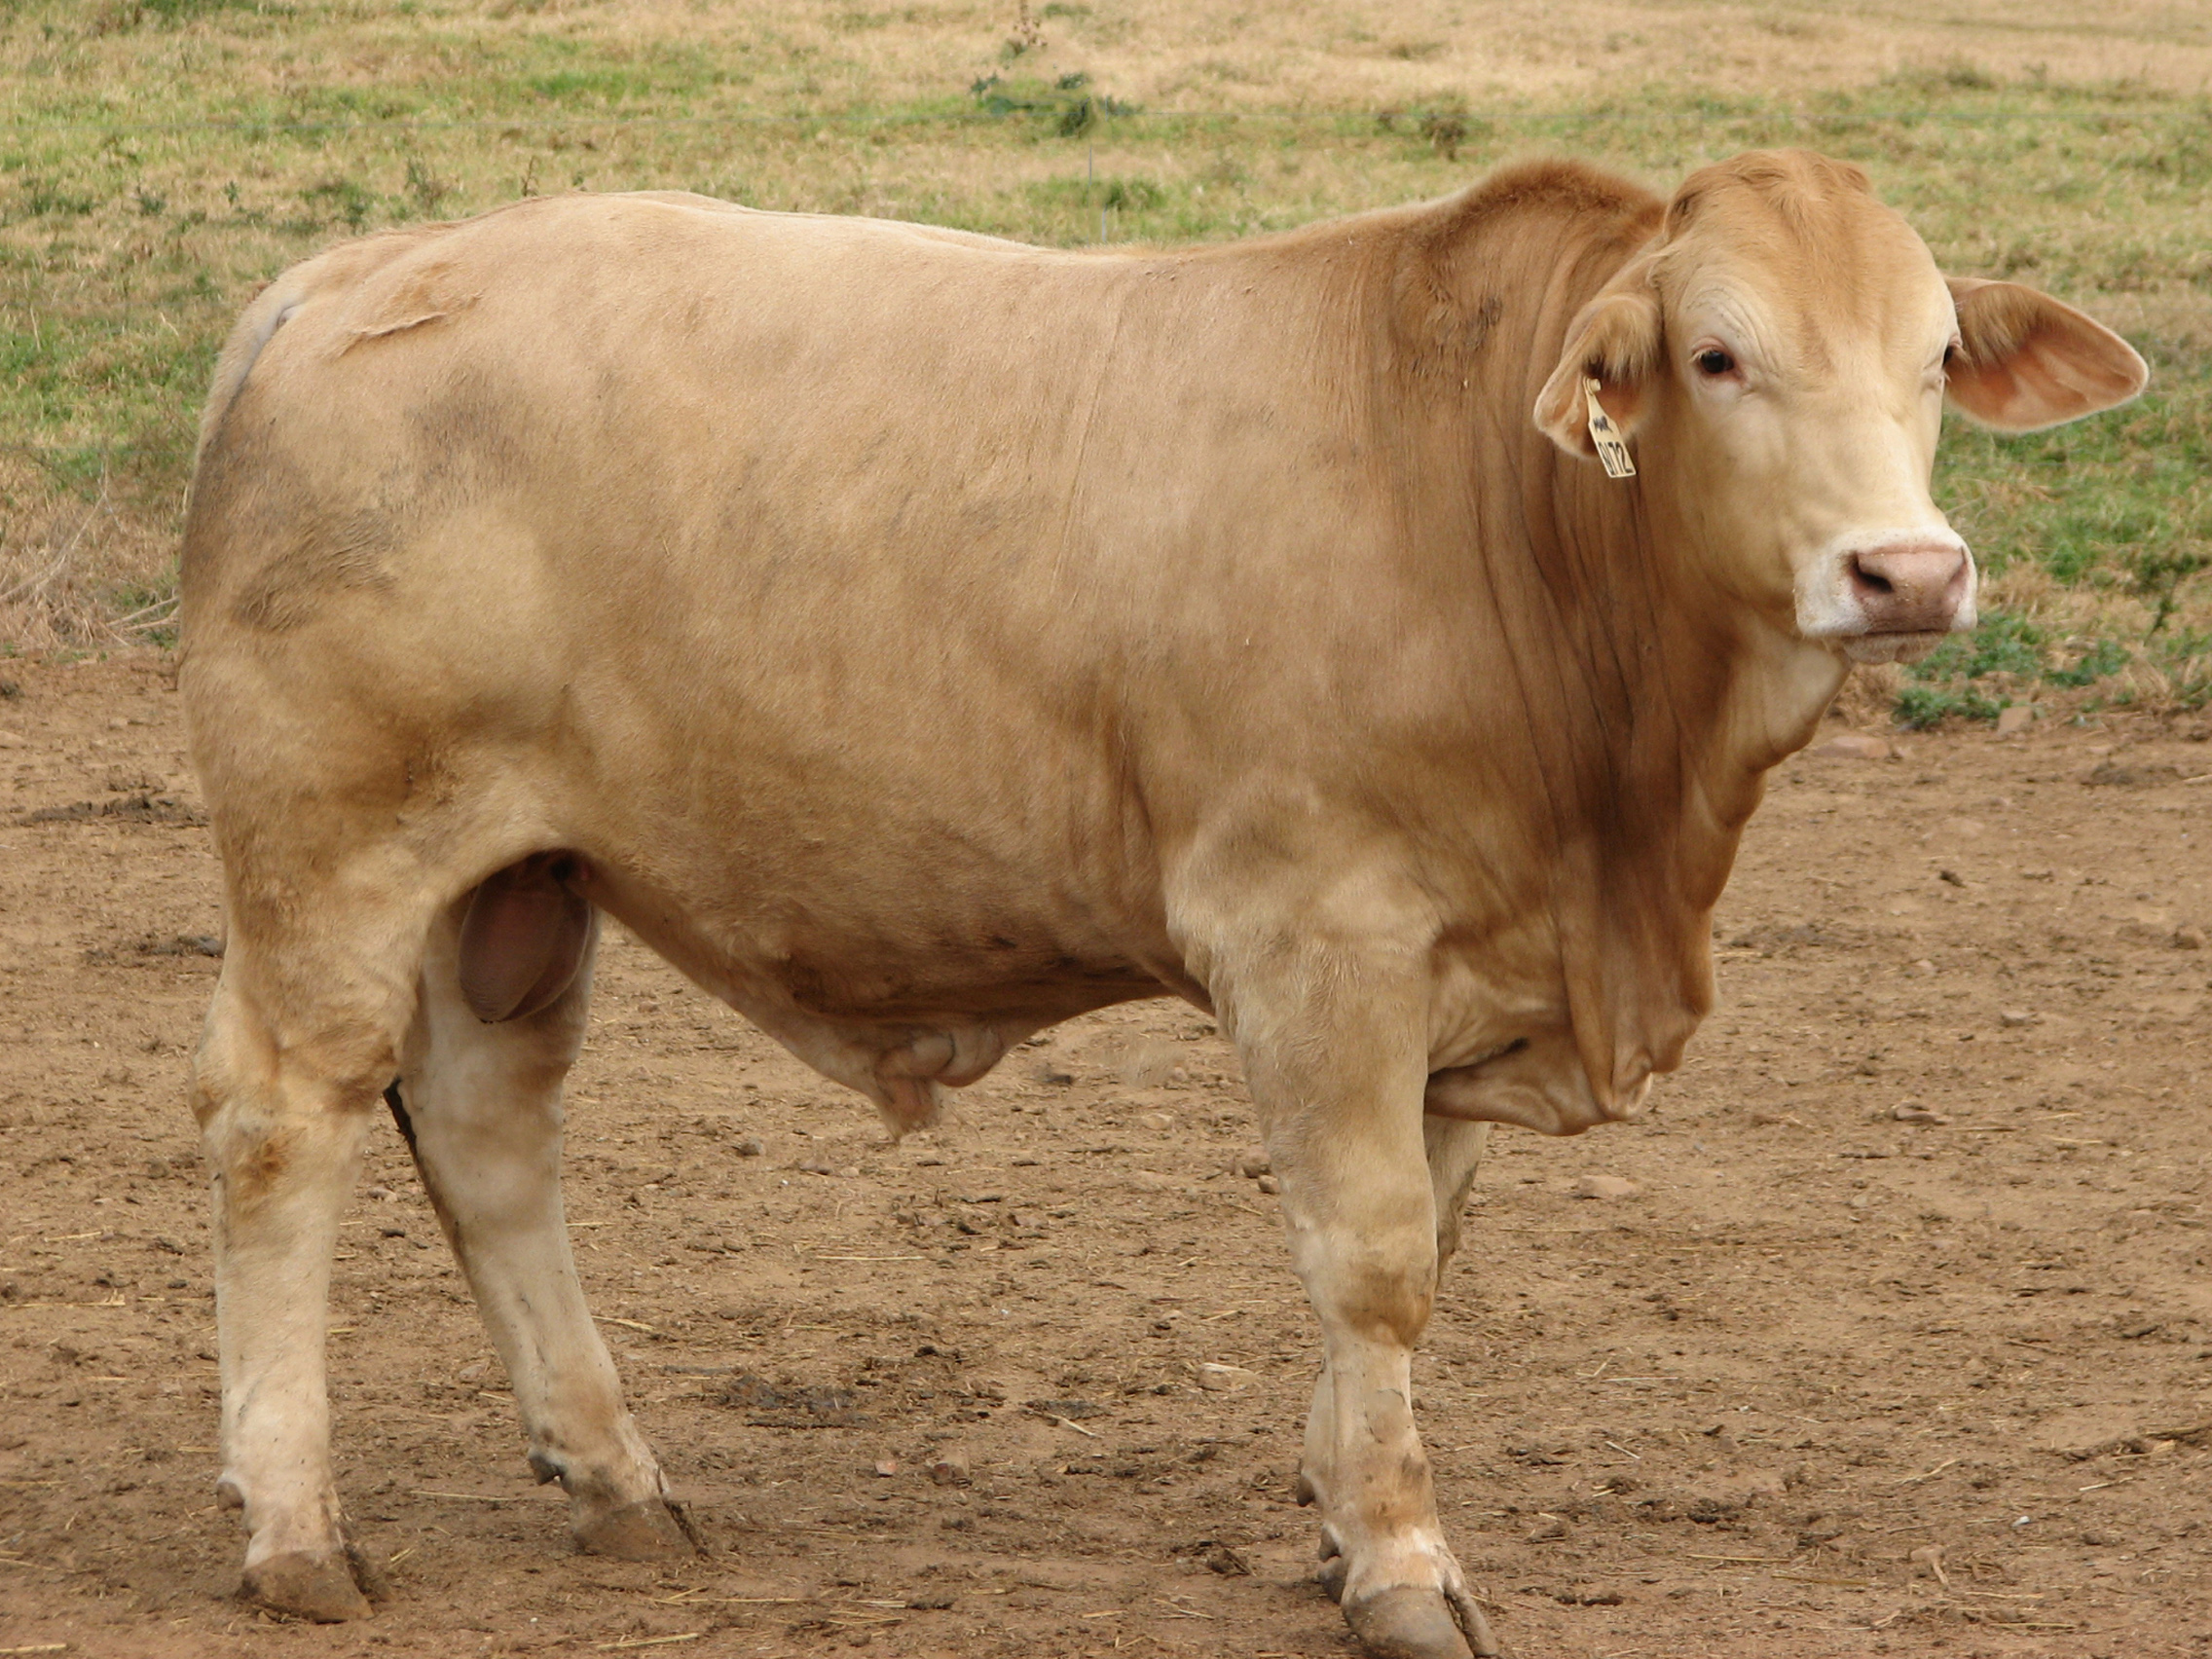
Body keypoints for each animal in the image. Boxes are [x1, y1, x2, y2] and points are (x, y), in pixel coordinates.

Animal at [177, 150, 2144, 1658]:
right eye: (1720, 355)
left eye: (1934, 357)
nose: (1905, 570)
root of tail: (348, 275)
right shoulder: (1316, 937)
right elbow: (1373, 1256)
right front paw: (1405, 1561)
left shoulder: (1458, 968)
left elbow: (1424, 1243)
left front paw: (1339, 1508)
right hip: (336, 853)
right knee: (284, 1130)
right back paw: (295, 1526)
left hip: (521, 880)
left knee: (491, 1136)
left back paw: (614, 1474)